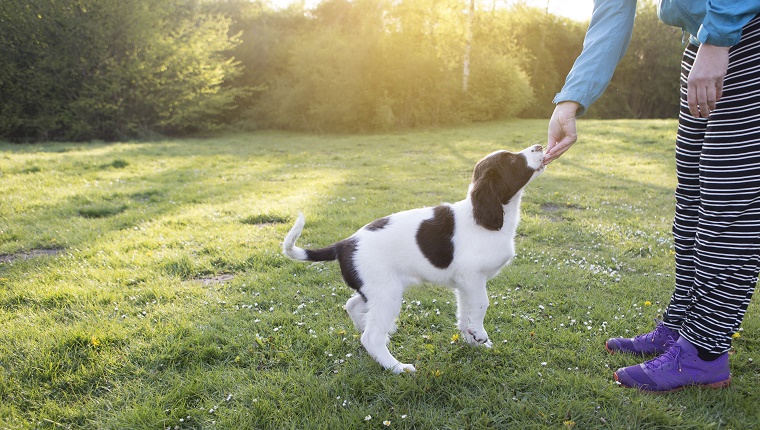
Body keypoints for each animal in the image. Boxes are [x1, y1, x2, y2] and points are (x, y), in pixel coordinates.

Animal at [282, 144, 544, 372]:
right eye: (512, 161)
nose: (540, 147)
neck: (482, 218)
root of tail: (344, 243)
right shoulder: (472, 278)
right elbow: (481, 305)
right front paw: (479, 334)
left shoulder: (464, 285)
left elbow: (464, 313)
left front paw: (472, 340)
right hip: (387, 293)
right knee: (370, 337)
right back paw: (397, 367)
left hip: (375, 290)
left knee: (352, 305)